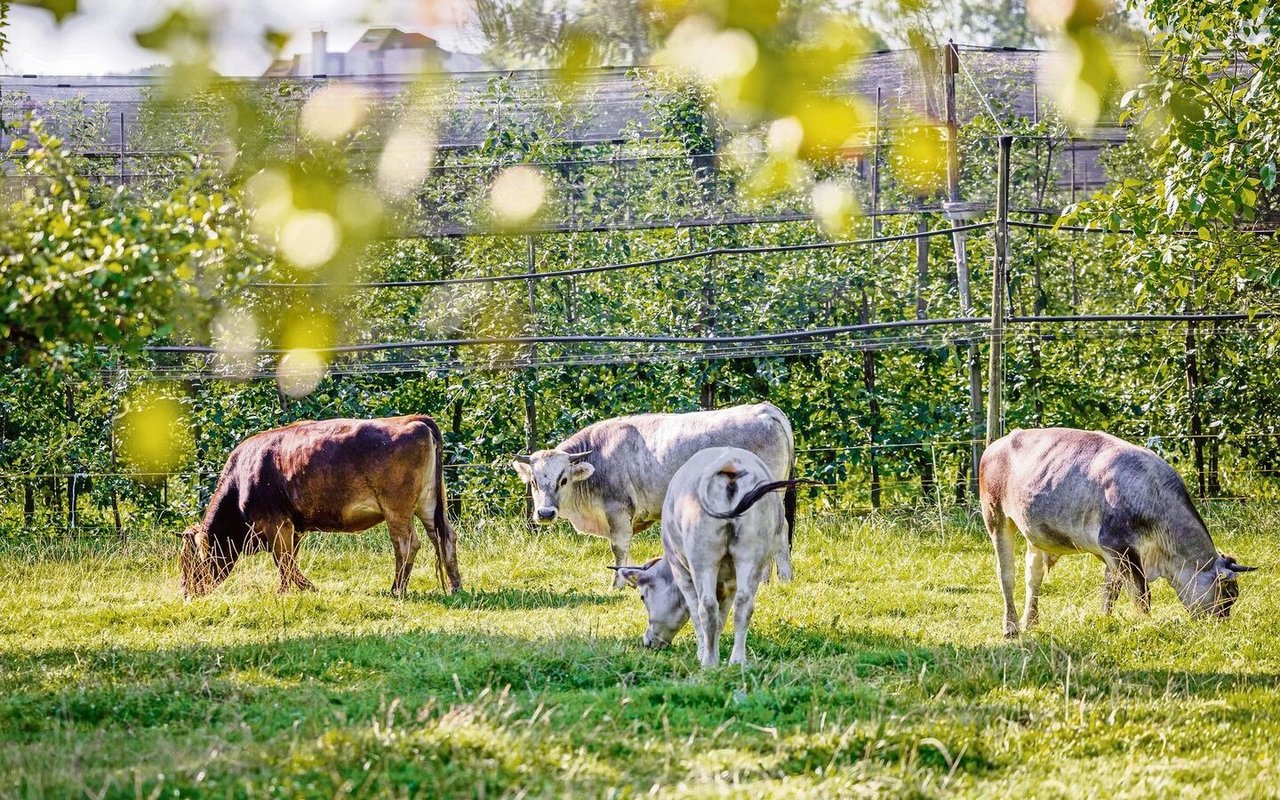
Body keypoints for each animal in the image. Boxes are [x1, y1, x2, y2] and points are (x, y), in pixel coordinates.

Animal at [177, 414, 460, 596]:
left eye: (189, 562)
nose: (185, 593)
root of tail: (412, 419)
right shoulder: (294, 527)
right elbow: (289, 561)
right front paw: (297, 589)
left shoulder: (276, 523)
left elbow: (284, 561)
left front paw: (290, 591)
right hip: (429, 504)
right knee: (444, 536)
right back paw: (455, 586)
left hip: (396, 509)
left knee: (406, 543)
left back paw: (397, 589)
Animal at [512, 404, 793, 586]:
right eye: (534, 482)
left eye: (563, 480)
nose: (545, 513)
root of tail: (765, 409)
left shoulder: (618, 510)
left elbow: (619, 548)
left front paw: (617, 584)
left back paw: (783, 579)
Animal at [614, 445, 793, 665]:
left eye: (642, 597)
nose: (648, 641)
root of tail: (729, 463)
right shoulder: (730, 582)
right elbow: (722, 616)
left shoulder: (681, 571)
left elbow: (696, 611)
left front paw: (703, 652)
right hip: (750, 556)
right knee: (744, 604)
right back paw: (737, 660)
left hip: (702, 559)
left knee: (706, 606)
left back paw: (709, 662)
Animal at [983, 427, 1254, 632]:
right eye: (1227, 594)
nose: (1220, 625)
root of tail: (998, 444)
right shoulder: (1118, 546)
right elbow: (1141, 594)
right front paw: (1145, 624)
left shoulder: (1112, 553)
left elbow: (1111, 590)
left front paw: (1106, 619)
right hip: (995, 516)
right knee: (1006, 574)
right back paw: (1011, 627)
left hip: (1036, 534)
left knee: (1033, 576)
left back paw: (1031, 622)